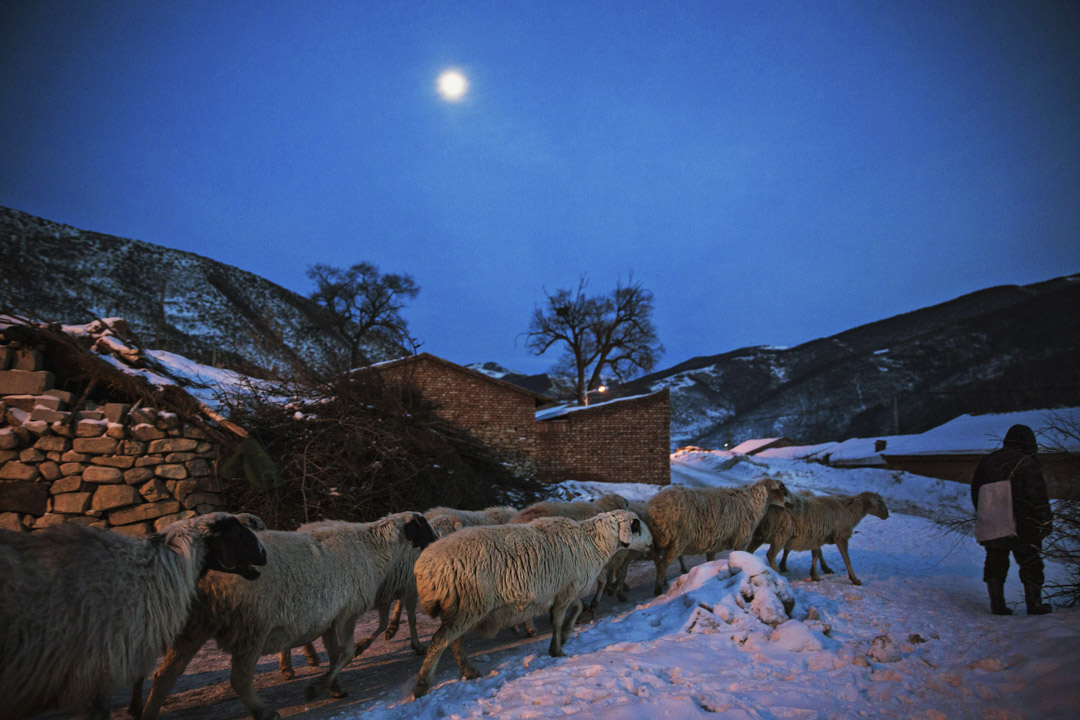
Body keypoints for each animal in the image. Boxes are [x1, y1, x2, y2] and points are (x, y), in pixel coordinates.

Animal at [139, 511, 434, 720]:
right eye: (423, 526)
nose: (436, 542)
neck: (374, 549)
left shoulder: (330, 617)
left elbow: (336, 654)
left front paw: (334, 687)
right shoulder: (347, 613)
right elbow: (348, 652)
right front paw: (315, 688)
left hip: (194, 626)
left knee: (164, 677)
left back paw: (148, 712)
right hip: (251, 627)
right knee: (239, 678)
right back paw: (264, 711)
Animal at [410, 507, 648, 699]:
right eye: (636, 524)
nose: (652, 543)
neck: (592, 542)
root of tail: (425, 568)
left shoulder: (566, 591)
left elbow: (577, 608)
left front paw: (567, 635)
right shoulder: (565, 591)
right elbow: (557, 621)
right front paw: (557, 649)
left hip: (456, 608)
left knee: (453, 641)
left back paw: (469, 671)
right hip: (468, 605)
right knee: (439, 641)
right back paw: (422, 685)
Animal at [639, 479, 794, 595]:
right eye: (783, 490)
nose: (792, 505)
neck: (753, 502)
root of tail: (653, 508)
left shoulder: (712, 543)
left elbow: (710, 561)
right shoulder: (741, 541)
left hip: (659, 539)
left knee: (657, 561)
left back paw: (663, 582)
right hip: (676, 540)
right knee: (663, 563)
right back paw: (658, 589)